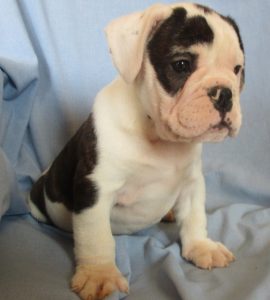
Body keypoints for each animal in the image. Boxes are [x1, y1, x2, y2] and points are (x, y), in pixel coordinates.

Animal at [28, 2, 244, 300]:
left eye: (237, 69)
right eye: (182, 65)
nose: (224, 93)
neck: (156, 135)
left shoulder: (192, 183)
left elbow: (194, 217)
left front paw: (201, 246)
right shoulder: (95, 189)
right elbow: (96, 238)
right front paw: (99, 274)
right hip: (40, 199)